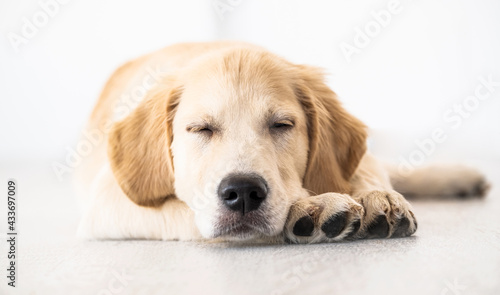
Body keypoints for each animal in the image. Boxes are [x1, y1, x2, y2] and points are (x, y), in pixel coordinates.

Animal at [75, 41, 488, 245]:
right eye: (201, 129)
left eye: (281, 125)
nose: (242, 192)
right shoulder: (107, 198)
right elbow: (184, 209)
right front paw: (311, 209)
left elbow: (367, 172)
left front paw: (379, 198)